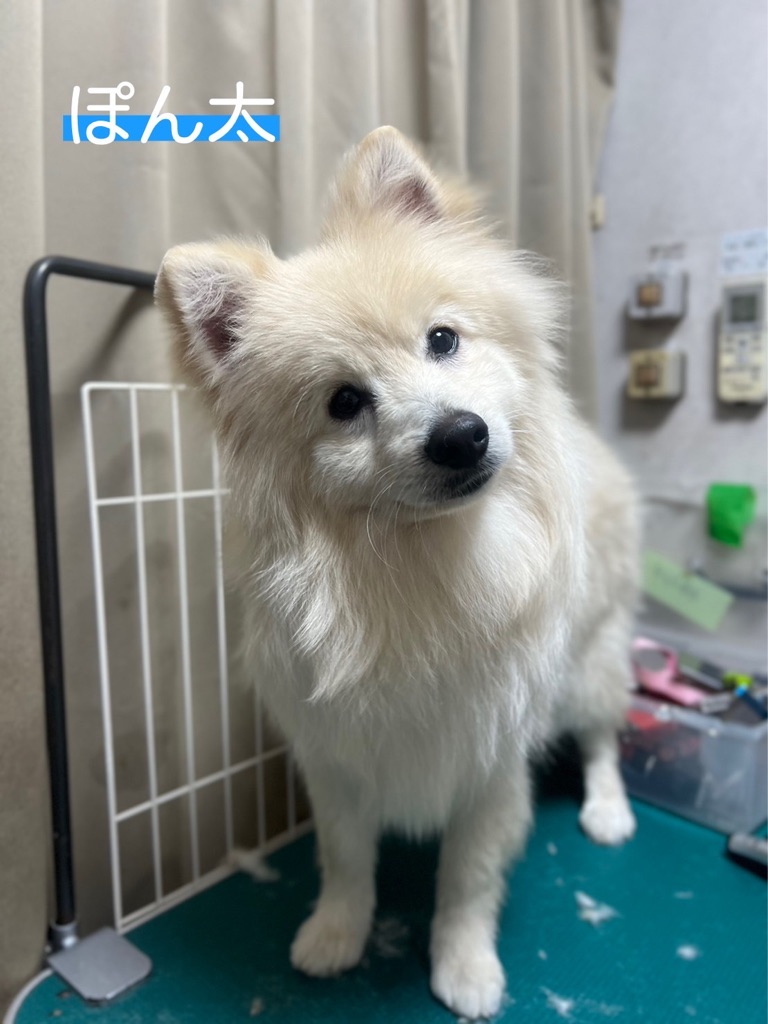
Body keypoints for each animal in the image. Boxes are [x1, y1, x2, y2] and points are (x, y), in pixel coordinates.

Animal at [156, 126, 638, 1020]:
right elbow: (347, 862)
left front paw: (465, 965)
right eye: (345, 402)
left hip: (592, 663)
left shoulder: (490, 764)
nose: (460, 434)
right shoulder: (337, 760)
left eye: (442, 340)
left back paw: (609, 809)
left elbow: (468, 880)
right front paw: (336, 934)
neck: (421, 565)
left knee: (601, 737)